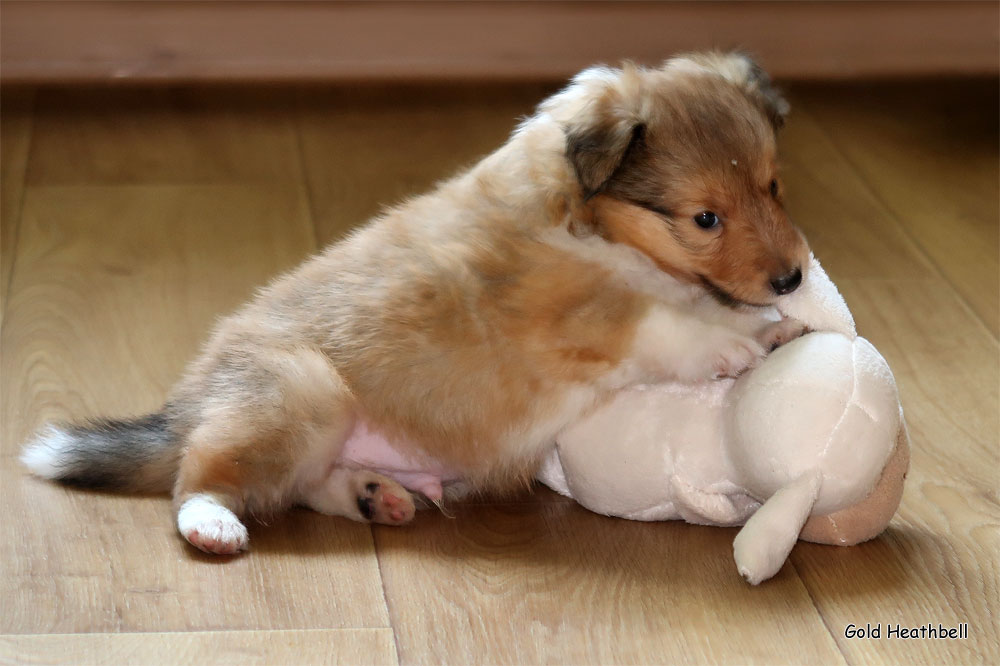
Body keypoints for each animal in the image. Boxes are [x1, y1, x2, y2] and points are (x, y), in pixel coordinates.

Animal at [21, 52, 812, 552]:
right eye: (705, 218)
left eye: (773, 186)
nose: (794, 278)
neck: (583, 217)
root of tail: (188, 408)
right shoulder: (570, 311)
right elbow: (663, 323)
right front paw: (736, 344)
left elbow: (703, 304)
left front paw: (770, 328)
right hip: (301, 396)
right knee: (205, 479)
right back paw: (213, 525)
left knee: (304, 487)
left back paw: (374, 495)